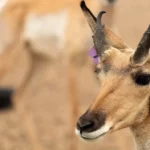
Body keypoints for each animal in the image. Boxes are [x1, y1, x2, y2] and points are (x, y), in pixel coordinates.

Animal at [0, 0, 116, 150]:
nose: (111, 2)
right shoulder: (71, 64)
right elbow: (73, 109)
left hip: (41, 61)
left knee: (19, 96)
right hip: (11, 59)